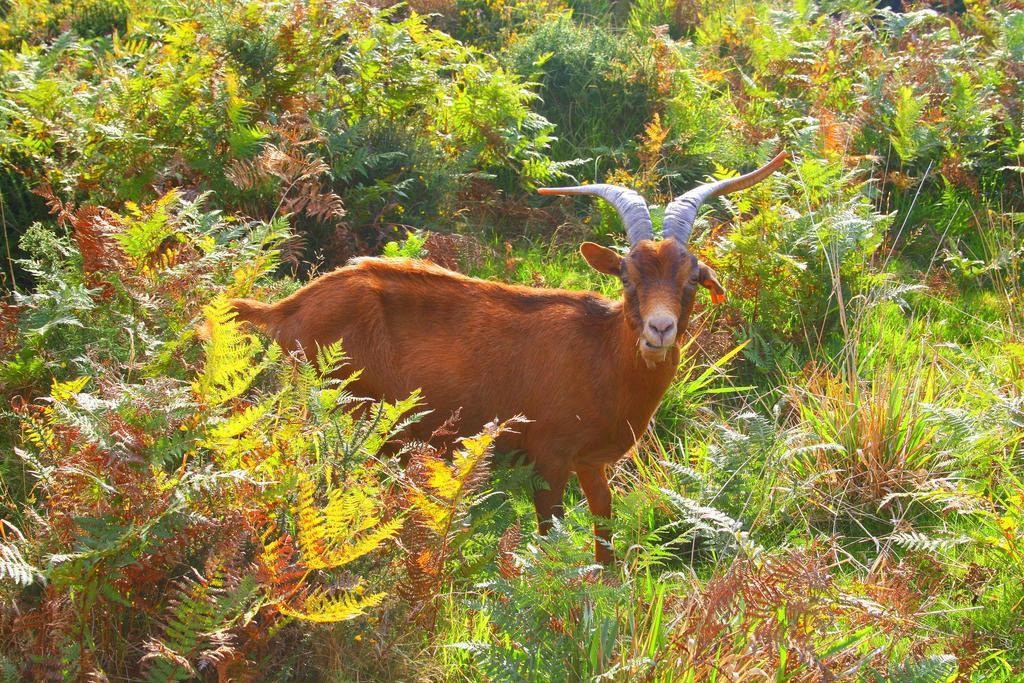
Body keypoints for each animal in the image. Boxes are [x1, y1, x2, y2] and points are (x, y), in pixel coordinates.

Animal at [232, 152, 786, 565]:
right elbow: (549, 539)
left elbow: (605, 539)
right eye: (627, 277)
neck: (601, 354)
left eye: (692, 279)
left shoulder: (591, 463)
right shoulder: (549, 457)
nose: (660, 329)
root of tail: (285, 309)